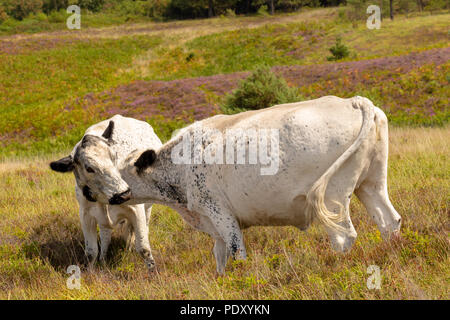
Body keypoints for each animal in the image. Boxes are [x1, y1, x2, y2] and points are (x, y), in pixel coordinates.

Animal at [50, 114, 163, 272]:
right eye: (89, 168)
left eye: (114, 157)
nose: (124, 194)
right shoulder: (86, 215)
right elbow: (91, 252)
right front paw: (90, 272)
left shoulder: (136, 210)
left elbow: (143, 248)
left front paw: (153, 272)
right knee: (106, 236)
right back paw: (103, 258)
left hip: (147, 208)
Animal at [65, 96, 402, 274]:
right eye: (90, 167)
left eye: (117, 164)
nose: (119, 193)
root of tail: (354, 102)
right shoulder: (211, 222)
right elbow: (220, 256)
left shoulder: (221, 214)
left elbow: (237, 251)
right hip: (371, 185)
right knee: (389, 221)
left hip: (334, 196)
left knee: (344, 236)